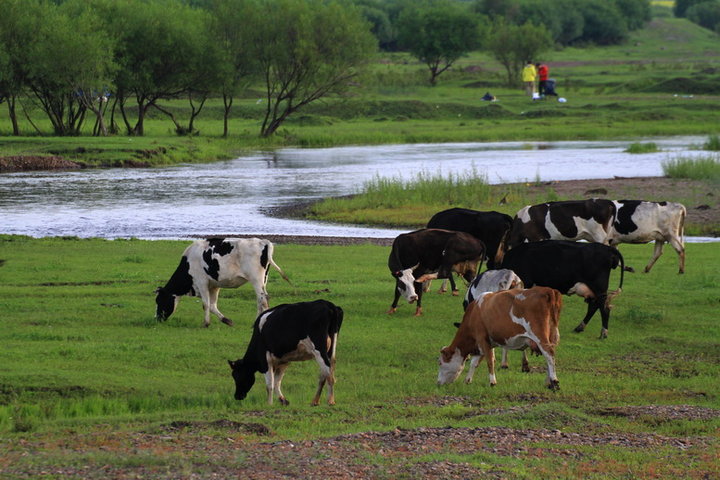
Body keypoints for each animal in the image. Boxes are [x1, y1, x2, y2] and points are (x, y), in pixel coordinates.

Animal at [155, 238, 290, 328]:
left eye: (159, 300)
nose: (157, 318)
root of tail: (263, 242)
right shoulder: (214, 285)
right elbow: (212, 305)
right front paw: (227, 320)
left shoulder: (201, 282)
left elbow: (205, 304)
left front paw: (206, 324)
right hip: (263, 280)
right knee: (260, 299)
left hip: (256, 279)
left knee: (263, 299)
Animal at [436, 284, 564, 390]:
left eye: (440, 363)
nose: (437, 383)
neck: (474, 311)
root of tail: (548, 290)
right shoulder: (484, 343)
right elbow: (474, 363)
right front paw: (467, 380)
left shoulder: (482, 338)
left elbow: (489, 361)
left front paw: (492, 382)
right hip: (552, 335)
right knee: (550, 357)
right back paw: (548, 382)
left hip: (539, 336)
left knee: (549, 354)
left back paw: (554, 381)